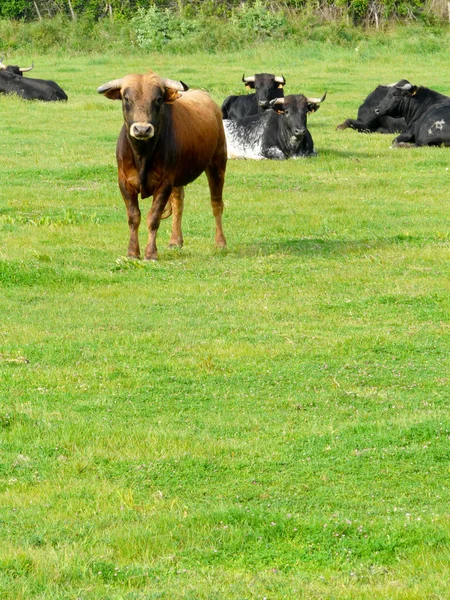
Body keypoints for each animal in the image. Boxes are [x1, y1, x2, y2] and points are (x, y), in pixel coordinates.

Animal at [97, 70, 227, 260]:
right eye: (126, 98)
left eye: (158, 99)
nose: (142, 129)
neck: (142, 155)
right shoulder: (125, 183)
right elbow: (133, 217)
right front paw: (132, 252)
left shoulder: (164, 183)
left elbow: (154, 217)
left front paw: (151, 253)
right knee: (178, 202)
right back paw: (175, 241)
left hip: (217, 164)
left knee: (216, 203)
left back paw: (220, 242)